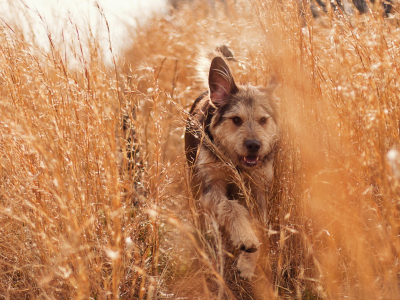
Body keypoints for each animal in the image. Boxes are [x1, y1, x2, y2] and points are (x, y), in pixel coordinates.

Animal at [185, 46, 282, 278]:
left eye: (263, 120)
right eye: (236, 120)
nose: (254, 145)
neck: (235, 162)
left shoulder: (258, 190)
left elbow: (260, 224)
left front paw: (247, 263)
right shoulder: (211, 187)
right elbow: (231, 207)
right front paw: (245, 238)